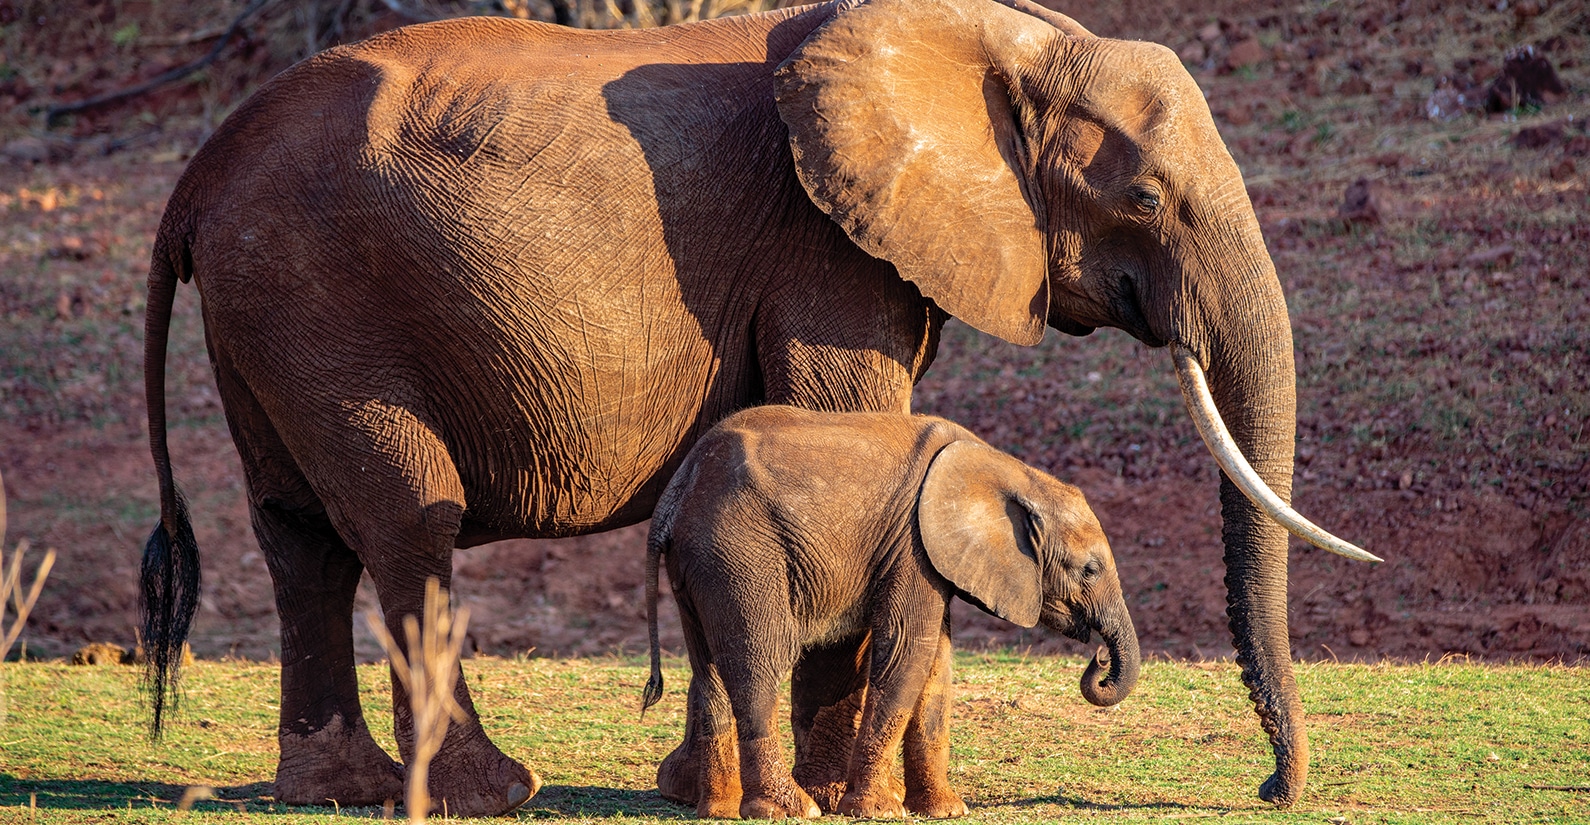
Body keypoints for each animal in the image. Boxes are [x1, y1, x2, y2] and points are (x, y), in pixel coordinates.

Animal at [640, 405, 1139, 819]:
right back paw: (790, 810)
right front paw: (879, 810)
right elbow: (907, 652)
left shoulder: (932, 559)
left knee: (709, 673)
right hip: (739, 553)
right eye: (1090, 570)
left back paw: (720, 810)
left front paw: (945, 810)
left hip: (700, 565)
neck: (1011, 471)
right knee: (759, 662)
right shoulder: (913, 547)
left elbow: (937, 664)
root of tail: (675, 494)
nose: (1099, 660)